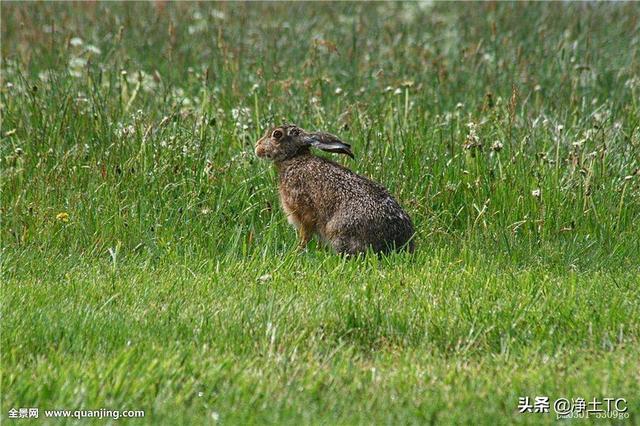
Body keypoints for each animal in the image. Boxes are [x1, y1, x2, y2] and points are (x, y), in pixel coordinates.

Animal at [255, 125, 416, 255]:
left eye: (277, 134)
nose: (257, 147)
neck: (294, 158)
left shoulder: (303, 211)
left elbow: (305, 235)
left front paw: (296, 251)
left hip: (338, 230)